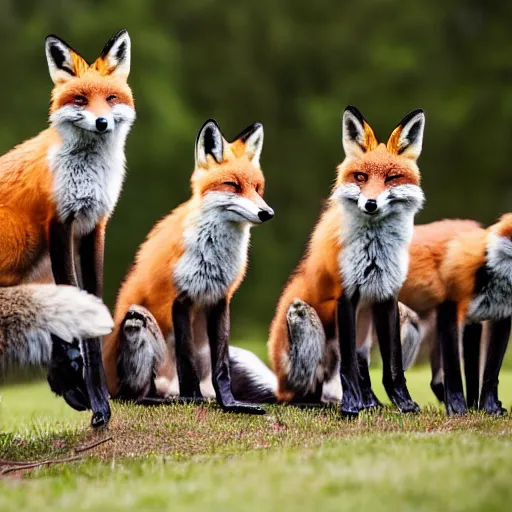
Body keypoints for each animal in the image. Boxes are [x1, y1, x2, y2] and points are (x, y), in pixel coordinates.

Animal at [101, 118, 274, 414]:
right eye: (232, 185)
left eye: (258, 188)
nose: (267, 213)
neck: (213, 257)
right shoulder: (179, 299)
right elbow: (186, 359)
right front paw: (192, 399)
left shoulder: (220, 299)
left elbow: (221, 367)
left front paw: (230, 404)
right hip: (137, 321)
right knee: (133, 394)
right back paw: (165, 398)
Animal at [266, 107, 426, 416]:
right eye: (361, 177)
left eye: (391, 178)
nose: (371, 204)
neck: (375, 252)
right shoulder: (346, 295)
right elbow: (349, 367)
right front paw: (352, 405)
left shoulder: (387, 294)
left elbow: (393, 367)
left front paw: (403, 403)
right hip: (302, 317)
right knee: (306, 391)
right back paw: (319, 403)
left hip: (406, 321)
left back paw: (371, 402)